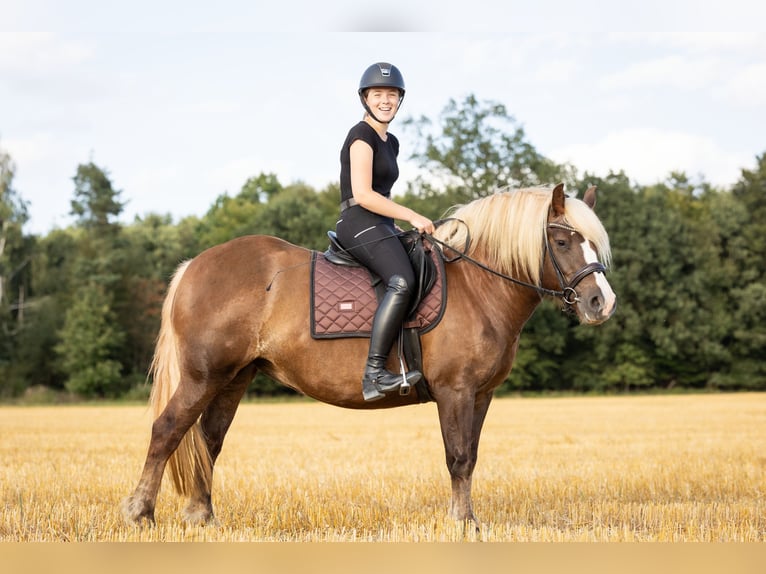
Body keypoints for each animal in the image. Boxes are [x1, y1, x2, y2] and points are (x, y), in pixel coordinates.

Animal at [123, 182, 620, 528]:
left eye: (594, 243)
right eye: (562, 242)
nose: (602, 303)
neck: (478, 287)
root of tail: (194, 266)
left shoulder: (481, 395)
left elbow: (471, 457)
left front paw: (468, 519)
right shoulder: (455, 391)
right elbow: (458, 456)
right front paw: (462, 524)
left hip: (233, 378)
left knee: (208, 441)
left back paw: (202, 517)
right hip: (202, 376)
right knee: (167, 431)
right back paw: (141, 512)